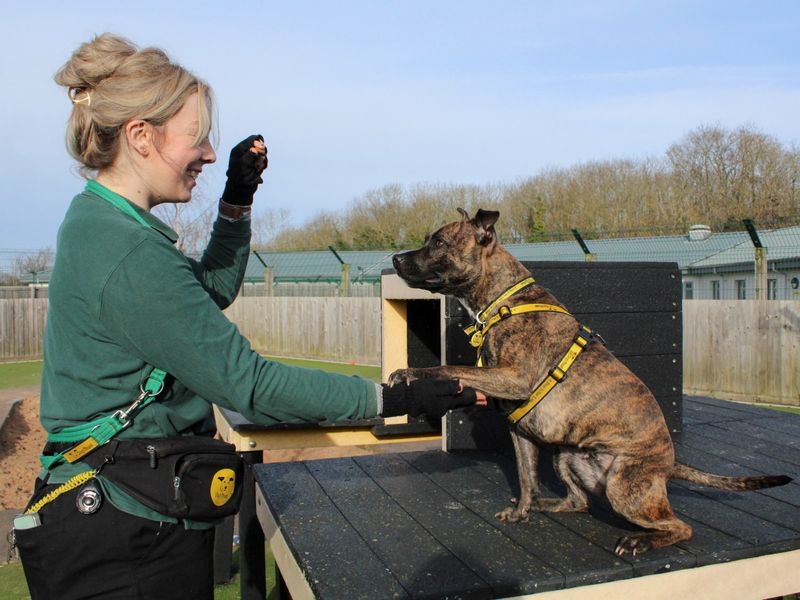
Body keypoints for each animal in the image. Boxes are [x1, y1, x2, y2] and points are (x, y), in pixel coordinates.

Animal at [390, 209, 792, 556]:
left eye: (439, 242)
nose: (394, 259)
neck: (505, 300)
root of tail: (667, 464)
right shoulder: (520, 433)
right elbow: (525, 478)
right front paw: (523, 511)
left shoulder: (514, 378)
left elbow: (451, 367)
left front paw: (411, 374)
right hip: (568, 457)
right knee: (580, 502)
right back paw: (545, 504)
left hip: (624, 486)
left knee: (680, 527)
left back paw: (639, 540)